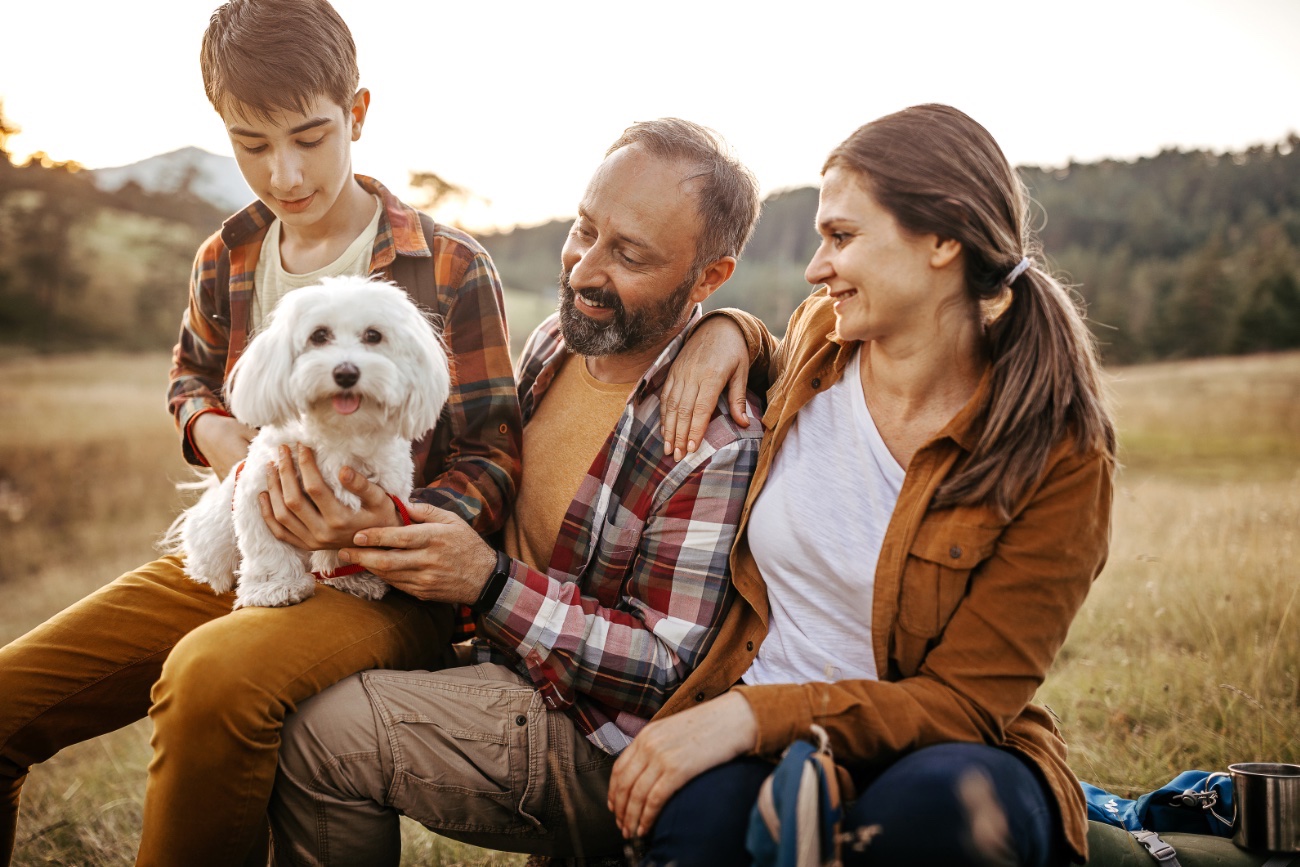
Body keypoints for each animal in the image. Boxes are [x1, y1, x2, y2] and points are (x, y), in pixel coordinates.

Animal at [175, 278, 452, 610]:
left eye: (373, 336)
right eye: (319, 335)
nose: (346, 372)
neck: (339, 430)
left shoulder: (378, 500)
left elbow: (346, 546)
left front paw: (350, 578)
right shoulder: (261, 495)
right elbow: (268, 548)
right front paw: (277, 587)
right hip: (215, 532)